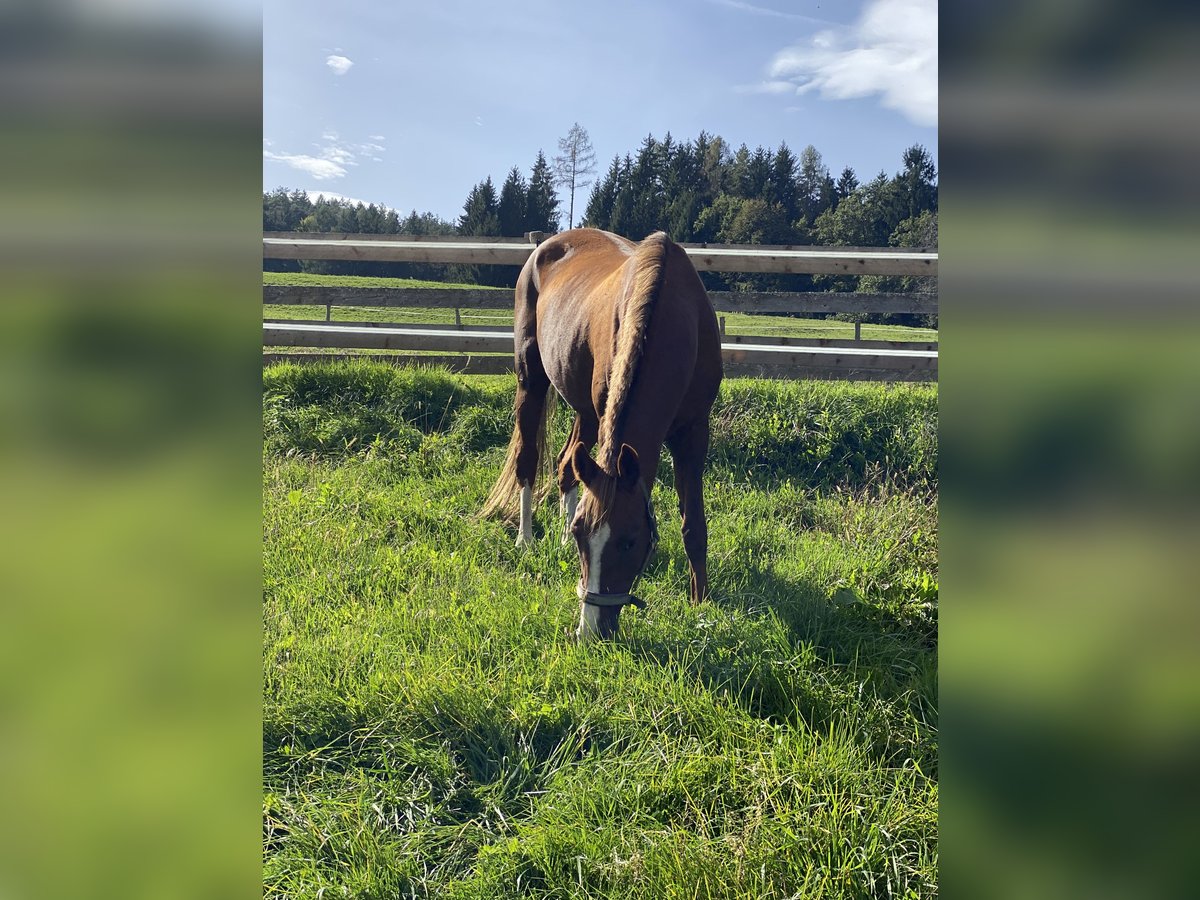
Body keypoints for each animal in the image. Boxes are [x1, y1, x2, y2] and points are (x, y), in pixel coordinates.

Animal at [480, 229, 720, 643]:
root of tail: (545, 246)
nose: (589, 632)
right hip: (532, 381)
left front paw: (700, 602)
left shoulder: (694, 431)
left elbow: (694, 524)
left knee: (566, 465)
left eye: (629, 541)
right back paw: (526, 539)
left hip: (587, 413)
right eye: (583, 536)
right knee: (527, 460)